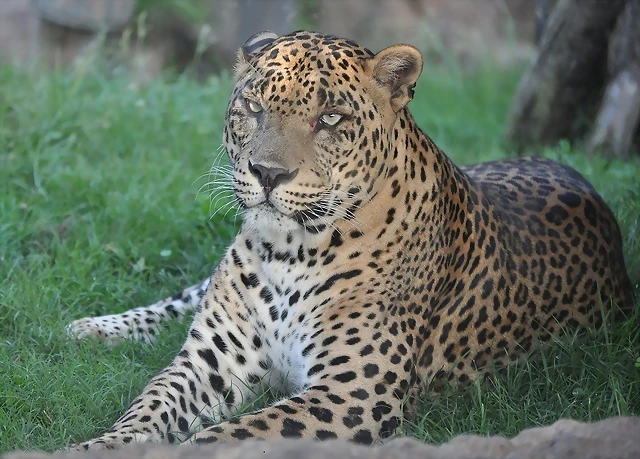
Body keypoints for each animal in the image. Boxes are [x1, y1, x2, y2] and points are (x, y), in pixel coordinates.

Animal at [65, 30, 636, 452]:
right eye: (254, 107)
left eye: (331, 119)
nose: (267, 173)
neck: (287, 250)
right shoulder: (210, 364)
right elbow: (147, 407)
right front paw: (91, 448)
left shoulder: (350, 394)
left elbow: (230, 435)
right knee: (187, 294)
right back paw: (94, 328)